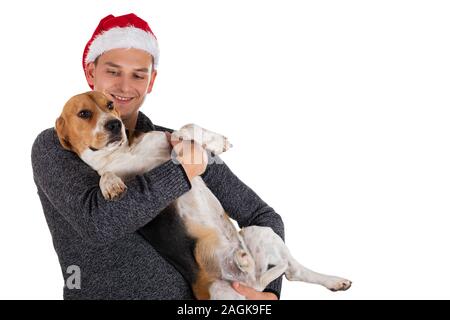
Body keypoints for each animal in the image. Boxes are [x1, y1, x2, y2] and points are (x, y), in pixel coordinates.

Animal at [55, 91, 352, 298]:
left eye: (110, 105)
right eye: (84, 114)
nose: (115, 124)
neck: (124, 152)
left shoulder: (168, 140)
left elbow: (185, 128)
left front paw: (217, 142)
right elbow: (105, 175)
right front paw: (110, 184)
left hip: (258, 231)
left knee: (290, 269)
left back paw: (333, 281)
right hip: (221, 290)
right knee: (266, 275)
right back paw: (244, 262)